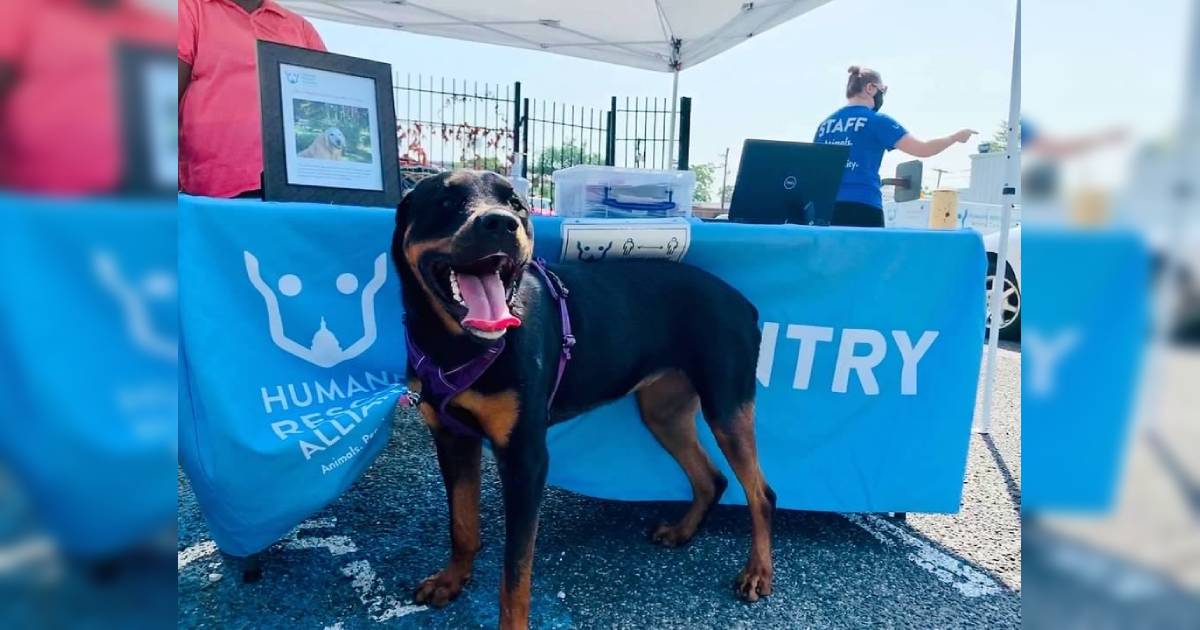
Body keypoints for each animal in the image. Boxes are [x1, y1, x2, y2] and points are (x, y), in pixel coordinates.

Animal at [388, 169, 772, 624]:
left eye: (517, 205)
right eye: (445, 202)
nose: (501, 224)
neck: (459, 344)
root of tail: (745, 305)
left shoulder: (525, 457)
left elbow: (515, 573)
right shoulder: (452, 438)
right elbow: (462, 525)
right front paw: (451, 580)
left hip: (727, 407)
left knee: (761, 494)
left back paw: (757, 572)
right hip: (664, 412)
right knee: (712, 479)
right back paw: (682, 531)